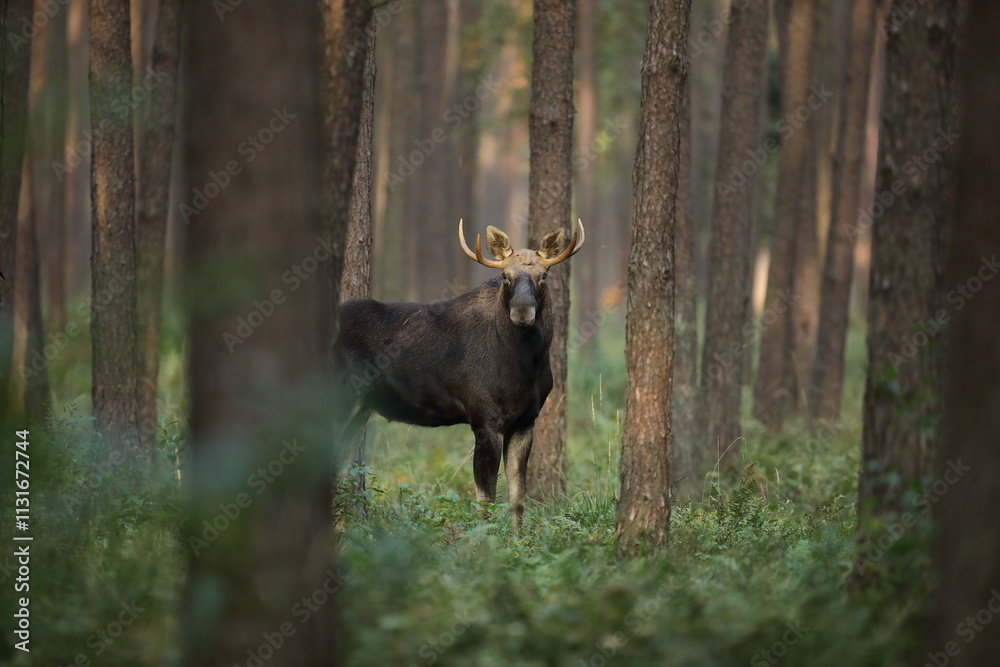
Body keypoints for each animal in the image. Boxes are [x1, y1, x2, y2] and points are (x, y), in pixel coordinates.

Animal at [332, 219, 584, 530]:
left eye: (544, 276)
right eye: (504, 276)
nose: (522, 312)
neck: (526, 366)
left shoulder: (526, 421)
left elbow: (517, 499)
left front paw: (518, 537)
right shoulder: (484, 420)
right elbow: (485, 501)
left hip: (360, 409)